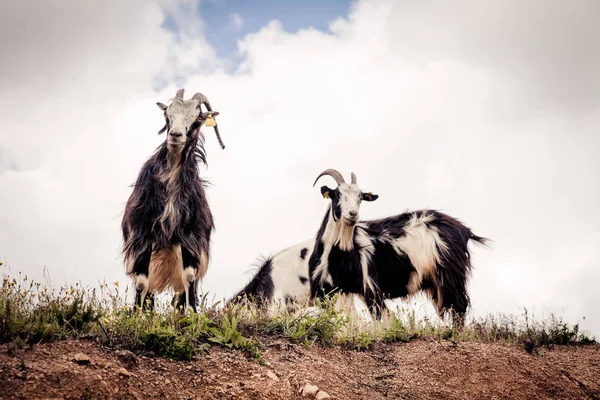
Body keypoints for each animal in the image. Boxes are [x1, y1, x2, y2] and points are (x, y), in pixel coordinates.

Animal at [119, 87, 225, 312]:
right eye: (167, 115)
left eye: (198, 119)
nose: (175, 135)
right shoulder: (142, 234)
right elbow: (142, 282)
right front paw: (136, 314)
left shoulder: (190, 236)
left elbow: (189, 277)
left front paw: (192, 313)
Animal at [308, 167, 490, 326]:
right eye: (337, 195)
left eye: (360, 197)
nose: (353, 214)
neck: (340, 254)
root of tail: (463, 229)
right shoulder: (331, 291)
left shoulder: (370, 286)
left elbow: (379, 319)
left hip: (451, 274)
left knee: (459, 306)